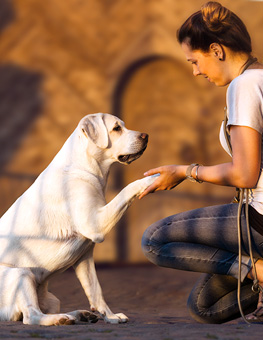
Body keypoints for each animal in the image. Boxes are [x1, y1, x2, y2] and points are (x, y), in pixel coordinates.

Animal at [0, 113, 157, 326]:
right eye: (117, 128)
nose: (146, 136)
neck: (86, 167)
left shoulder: (85, 255)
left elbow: (96, 291)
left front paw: (111, 317)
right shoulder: (95, 224)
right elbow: (127, 189)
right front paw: (153, 178)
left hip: (51, 298)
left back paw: (80, 315)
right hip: (21, 274)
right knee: (31, 316)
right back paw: (61, 319)